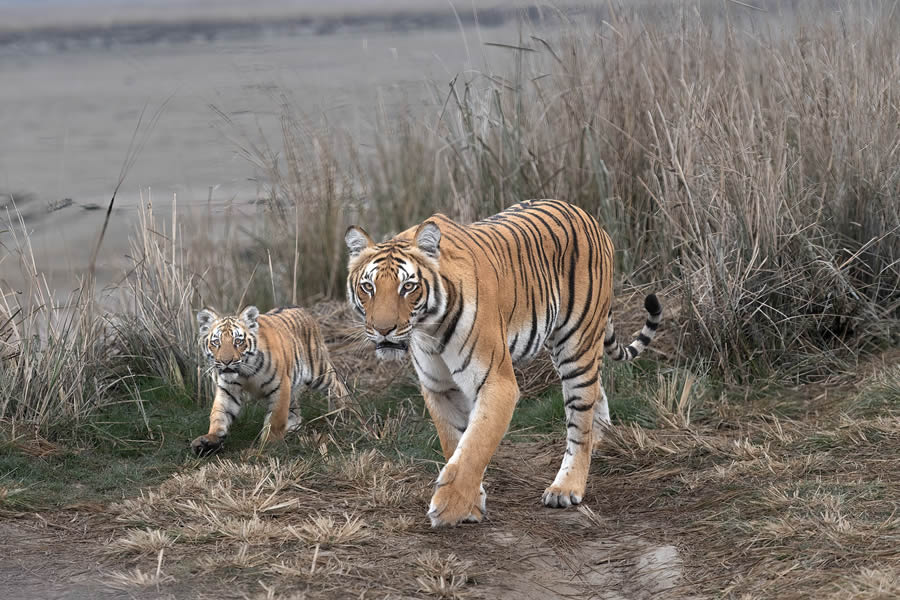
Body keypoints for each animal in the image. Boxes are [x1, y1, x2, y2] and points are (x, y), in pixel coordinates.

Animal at [193, 304, 348, 454]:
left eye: (238, 341)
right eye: (216, 342)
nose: (226, 362)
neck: (244, 372)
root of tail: (303, 310)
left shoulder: (280, 386)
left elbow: (275, 418)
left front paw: (269, 444)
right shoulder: (228, 390)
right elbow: (219, 415)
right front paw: (209, 440)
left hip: (319, 371)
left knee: (338, 387)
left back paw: (345, 412)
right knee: (296, 412)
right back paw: (292, 427)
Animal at [344, 200, 660, 524]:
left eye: (408, 287)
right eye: (368, 287)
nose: (383, 329)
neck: (430, 329)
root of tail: (589, 217)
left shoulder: (496, 382)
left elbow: (475, 444)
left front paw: (449, 506)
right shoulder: (439, 388)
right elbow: (454, 443)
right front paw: (470, 505)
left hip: (576, 344)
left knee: (579, 418)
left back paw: (566, 487)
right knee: (597, 389)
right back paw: (603, 438)